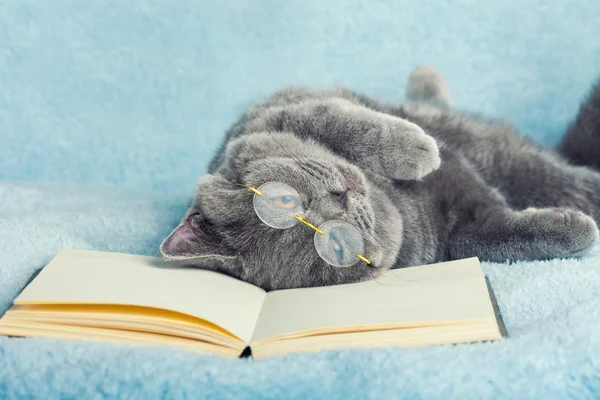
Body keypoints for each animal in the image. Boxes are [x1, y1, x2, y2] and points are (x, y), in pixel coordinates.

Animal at [159, 66, 600, 290]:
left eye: (284, 200)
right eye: (337, 246)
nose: (340, 196)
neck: (400, 202)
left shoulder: (271, 116)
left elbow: (336, 119)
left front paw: (415, 148)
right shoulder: (461, 231)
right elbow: (493, 236)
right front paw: (575, 228)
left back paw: (425, 82)